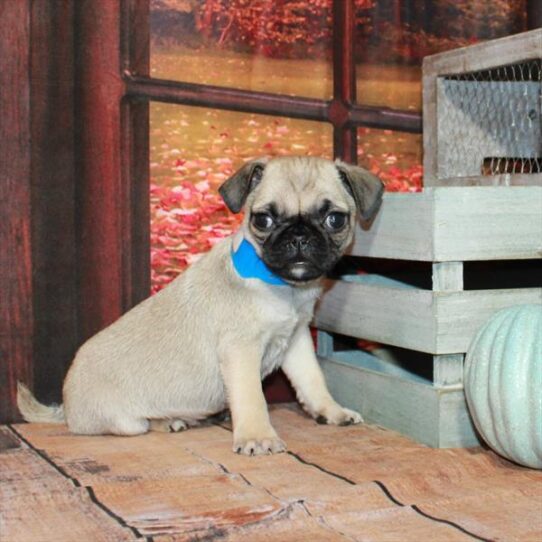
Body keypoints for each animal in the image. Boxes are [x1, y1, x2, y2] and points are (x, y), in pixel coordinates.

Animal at [17, 155, 382, 456]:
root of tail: (65, 407)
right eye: (263, 220)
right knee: (139, 424)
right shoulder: (240, 350)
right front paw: (257, 437)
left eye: (335, 219)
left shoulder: (295, 342)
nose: (299, 236)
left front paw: (331, 411)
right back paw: (168, 420)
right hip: (123, 421)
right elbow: (252, 398)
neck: (282, 287)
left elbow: (312, 381)